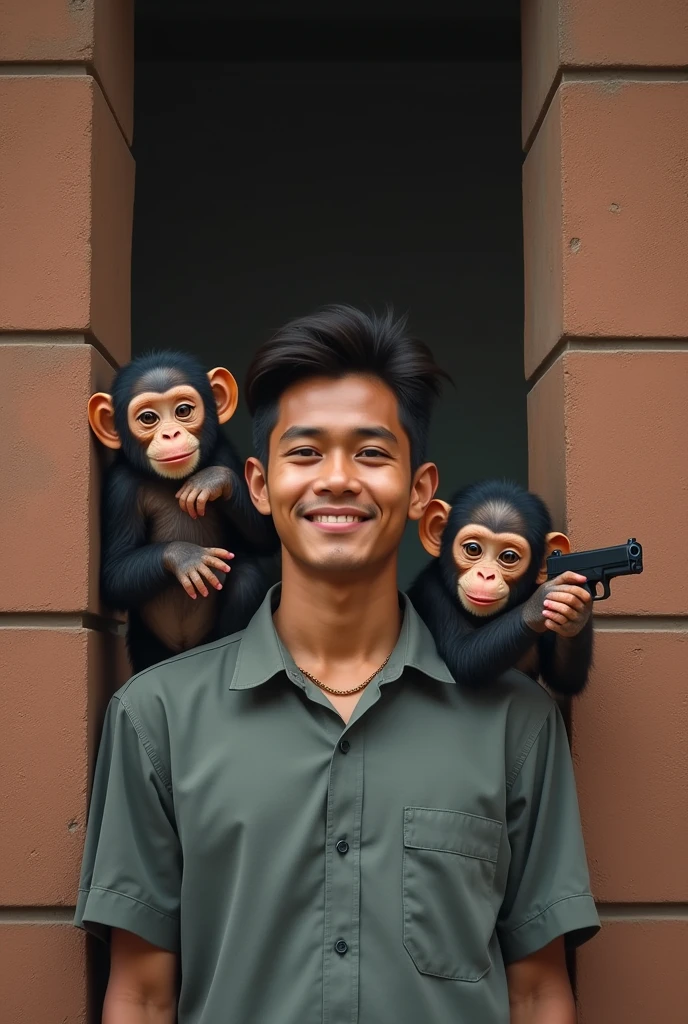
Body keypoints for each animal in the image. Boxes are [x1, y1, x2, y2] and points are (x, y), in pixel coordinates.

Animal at [88, 348, 276, 675]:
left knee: (246, 578)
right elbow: (113, 574)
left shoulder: (225, 454)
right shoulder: (120, 488)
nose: (171, 434)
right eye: (148, 418)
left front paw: (212, 480)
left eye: (183, 411)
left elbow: (265, 537)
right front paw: (186, 556)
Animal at [405, 479, 593, 696]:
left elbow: (564, 679)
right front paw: (539, 603)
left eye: (508, 557)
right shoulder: (431, 592)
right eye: (473, 549)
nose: (486, 575)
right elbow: (462, 654)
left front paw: (577, 610)